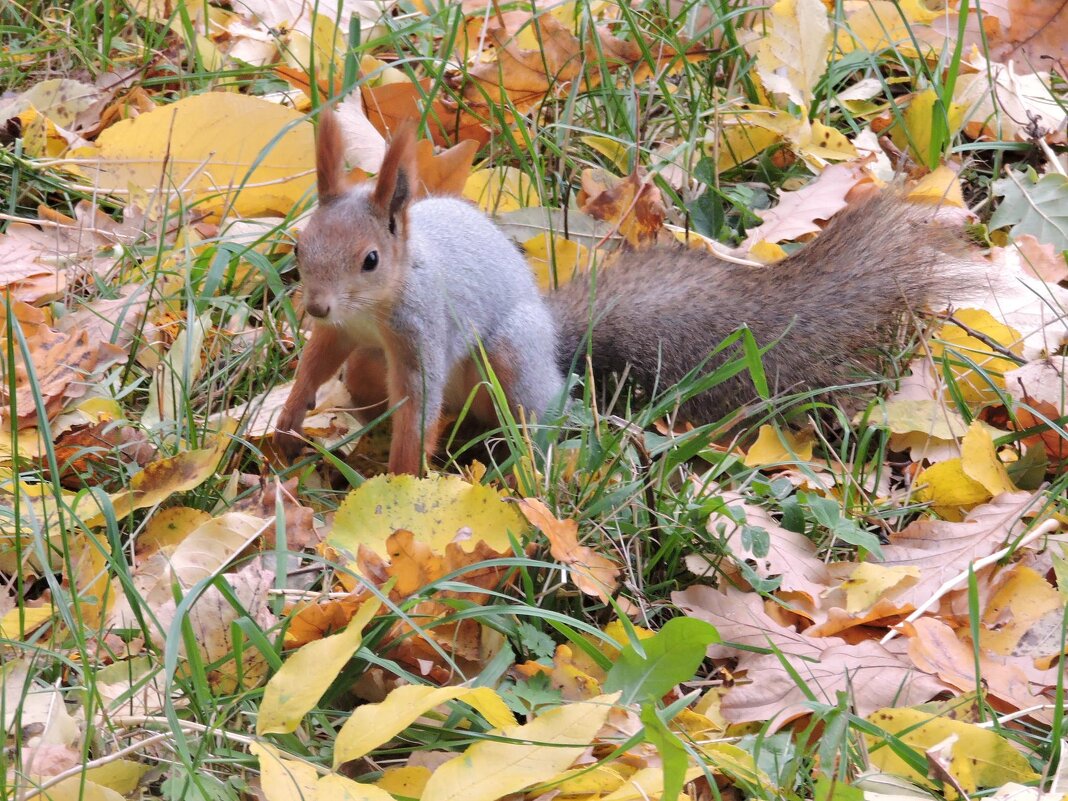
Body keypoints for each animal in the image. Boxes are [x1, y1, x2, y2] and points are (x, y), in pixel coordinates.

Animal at [275, 113, 969, 476]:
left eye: (370, 259)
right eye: (299, 246)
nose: (316, 303)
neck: (375, 307)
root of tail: (551, 339)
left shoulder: (422, 330)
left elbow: (419, 403)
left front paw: (398, 484)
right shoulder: (343, 333)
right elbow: (315, 365)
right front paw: (285, 425)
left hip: (510, 358)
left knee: (532, 411)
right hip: (372, 370)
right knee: (368, 386)